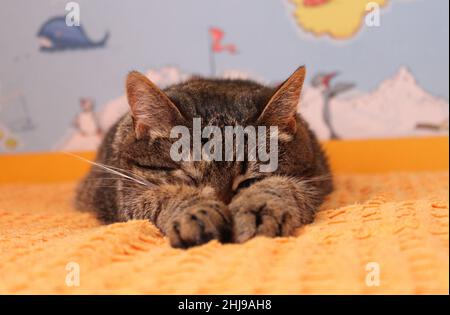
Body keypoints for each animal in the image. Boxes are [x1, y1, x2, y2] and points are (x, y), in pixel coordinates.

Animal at [75, 66, 332, 249]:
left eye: (248, 182)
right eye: (190, 180)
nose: (223, 203)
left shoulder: (314, 181)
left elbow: (281, 187)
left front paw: (258, 208)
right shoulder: (123, 195)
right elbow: (162, 196)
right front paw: (197, 212)